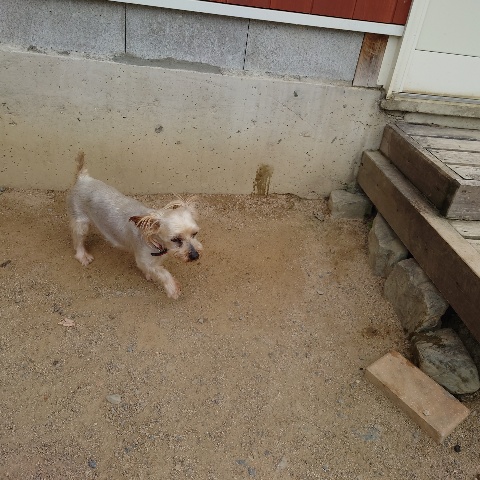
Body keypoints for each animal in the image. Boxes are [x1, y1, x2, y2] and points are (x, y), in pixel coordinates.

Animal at [67, 152, 202, 299]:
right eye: (176, 239)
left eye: (194, 234)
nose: (195, 256)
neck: (153, 238)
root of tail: (83, 178)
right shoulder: (143, 260)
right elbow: (163, 273)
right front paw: (172, 288)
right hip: (81, 223)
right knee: (78, 240)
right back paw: (83, 256)